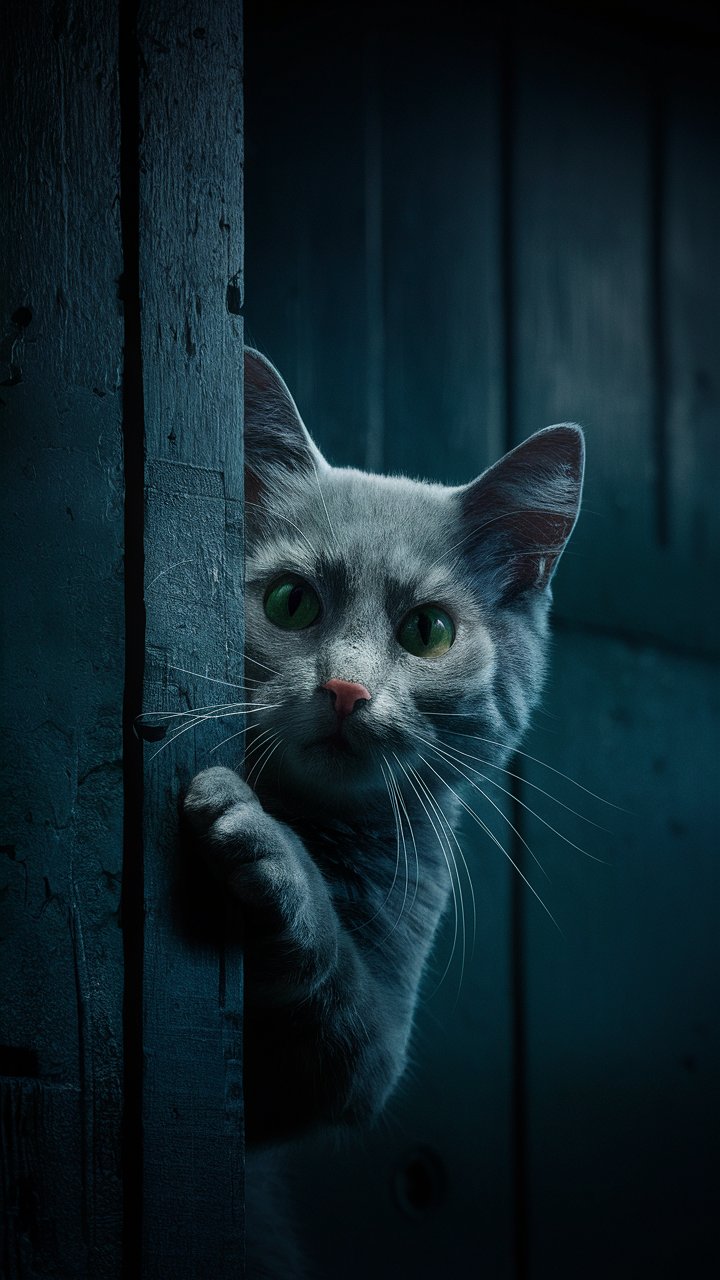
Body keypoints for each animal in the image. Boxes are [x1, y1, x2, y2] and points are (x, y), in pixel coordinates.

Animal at [180, 345, 584, 1274]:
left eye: (428, 631)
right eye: (291, 602)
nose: (346, 689)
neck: (328, 833)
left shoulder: (364, 1048)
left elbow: (334, 1008)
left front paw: (272, 859)